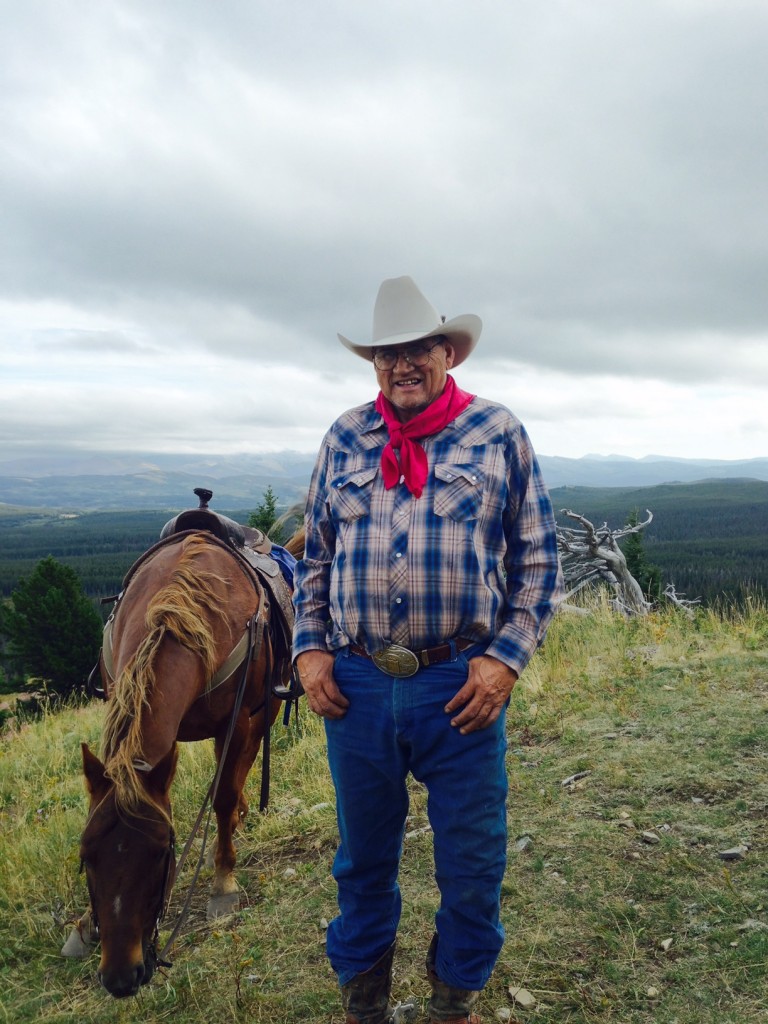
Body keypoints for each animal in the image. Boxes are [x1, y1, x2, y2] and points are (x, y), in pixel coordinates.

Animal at [78, 516, 305, 995]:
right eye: (86, 856)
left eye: (162, 852)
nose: (120, 977)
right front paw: (86, 920)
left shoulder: (238, 722)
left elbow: (221, 797)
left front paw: (222, 883)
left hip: (260, 713)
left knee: (240, 769)